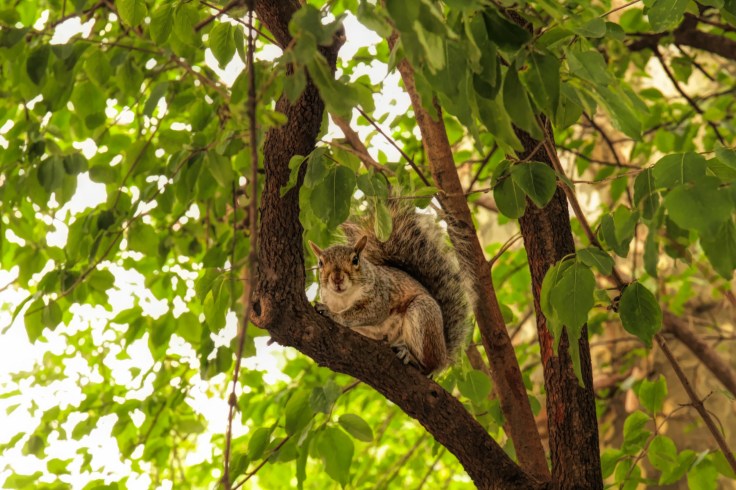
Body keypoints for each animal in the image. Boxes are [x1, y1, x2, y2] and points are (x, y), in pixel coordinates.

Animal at [308, 204, 472, 375]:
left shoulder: (380, 295)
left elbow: (368, 312)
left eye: (355, 260)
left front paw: (332, 314)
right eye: (320, 263)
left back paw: (412, 358)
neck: (344, 297)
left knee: (428, 366)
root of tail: (444, 354)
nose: (337, 279)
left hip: (423, 312)